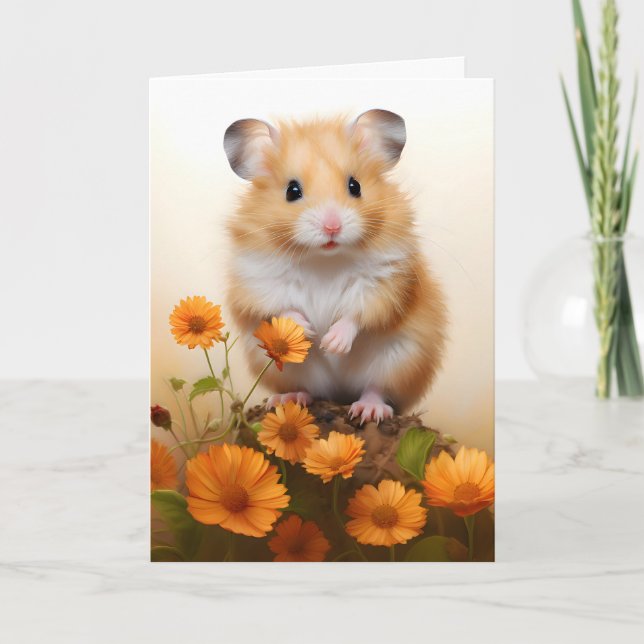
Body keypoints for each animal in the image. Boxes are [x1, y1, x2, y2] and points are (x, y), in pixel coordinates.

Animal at [223, 109, 447, 424]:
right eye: (292, 191)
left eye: (355, 186)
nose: (332, 227)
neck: (324, 259)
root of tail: (340, 394)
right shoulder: (257, 283)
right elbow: (280, 307)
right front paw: (308, 331)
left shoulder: (387, 283)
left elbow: (357, 314)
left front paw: (332, 343)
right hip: (286, 368)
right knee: (306, 389)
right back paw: (289, 398)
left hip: (400, 360)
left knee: (376, 388)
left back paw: (368, 410)